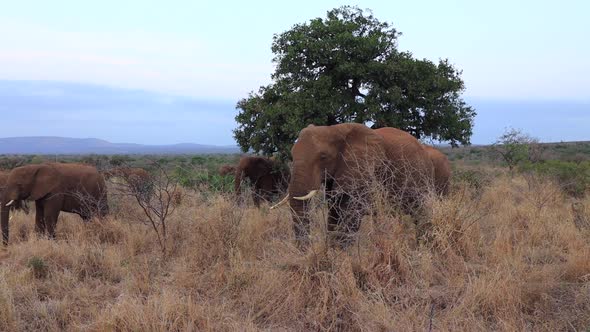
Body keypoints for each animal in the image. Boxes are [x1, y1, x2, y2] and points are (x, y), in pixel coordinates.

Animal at [272, 123, 434, 248]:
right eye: (292, 154)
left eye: (323, 157)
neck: (333, 129)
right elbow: (334, 213)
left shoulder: (362, 171)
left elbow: (351, 215)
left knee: (421, 214)